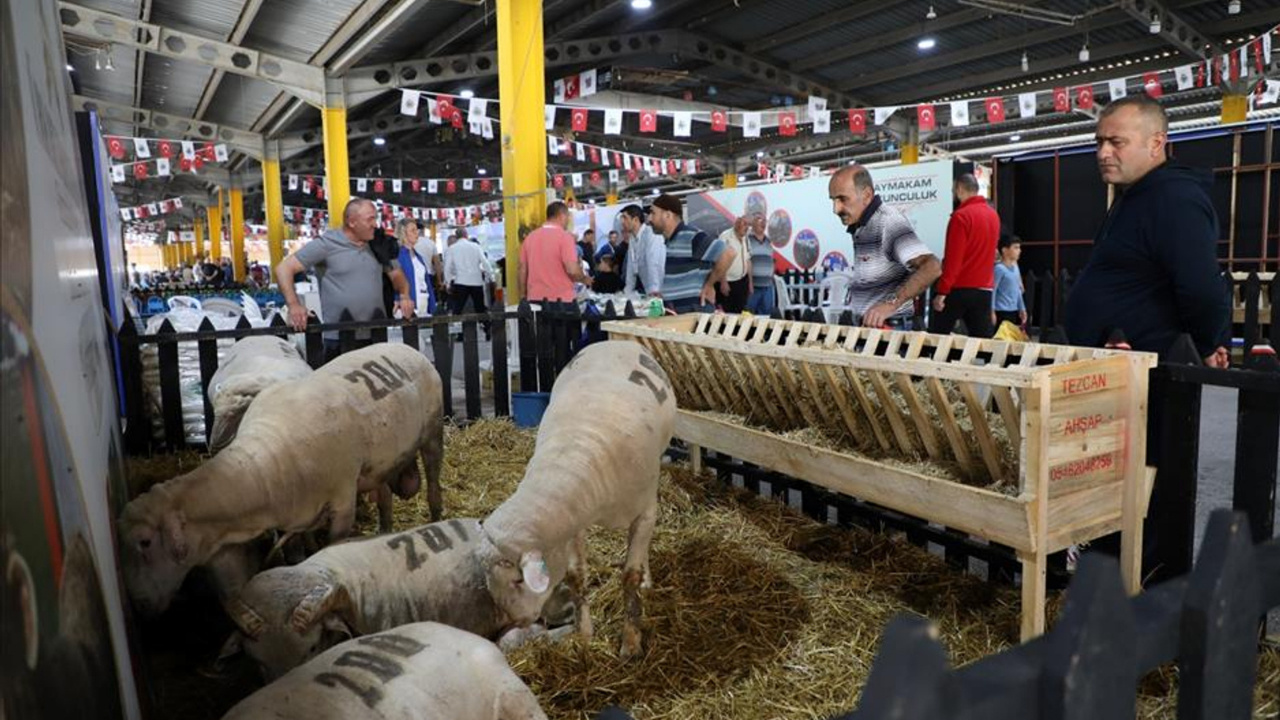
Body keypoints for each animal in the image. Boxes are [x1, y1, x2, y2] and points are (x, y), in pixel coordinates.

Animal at [117, 345, 445, 614]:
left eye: (145, 542)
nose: (140, 605)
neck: (265, 462)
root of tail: (405, 347)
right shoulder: (291, 517)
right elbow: (295, 554)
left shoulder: (342, 501)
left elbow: (334, 545)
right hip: (379, 466)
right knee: (385, 497)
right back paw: (385, 529)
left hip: (432, 433)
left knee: (433, 483)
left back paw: (436, 516)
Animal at [478, 338, 680, 661]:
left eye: (518, 579)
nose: (519, 623)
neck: (576, 453)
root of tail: (614, 341)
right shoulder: (573, 524)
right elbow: (576, 576)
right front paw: (584, 635)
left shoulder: (645, 512)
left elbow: (630, 576)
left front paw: (631, 643)